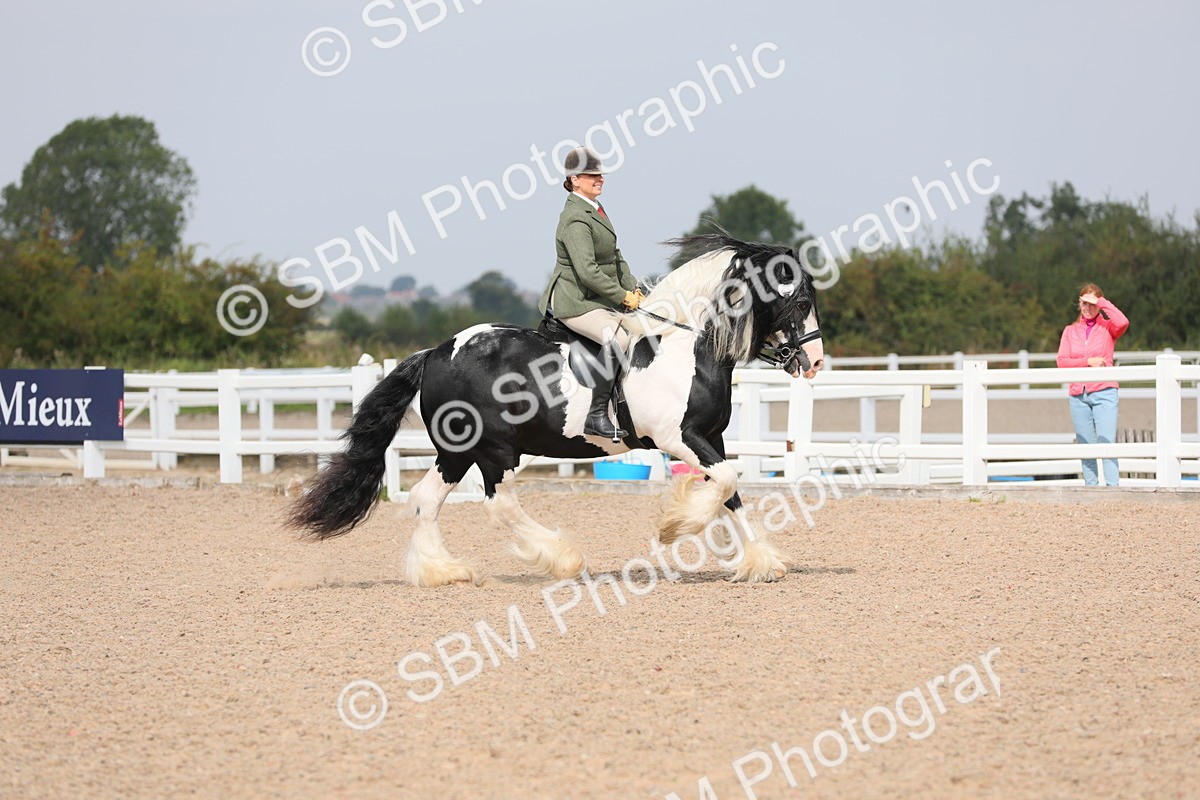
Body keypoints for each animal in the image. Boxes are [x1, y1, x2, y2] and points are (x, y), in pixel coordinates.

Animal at [287, 233, 824, 586]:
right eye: (799, 300)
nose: (816, 362)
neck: (683, 345)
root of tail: (436, 353)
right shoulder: (678, 439)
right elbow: (727, 483)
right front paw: (676, 526)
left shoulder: (712, 439)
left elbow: (731, 493)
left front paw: (758, 560)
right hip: (494, 450)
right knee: (500, 505)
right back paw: (564, 560)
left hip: (456, 454)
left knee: (424, 500)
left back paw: (443, 571)